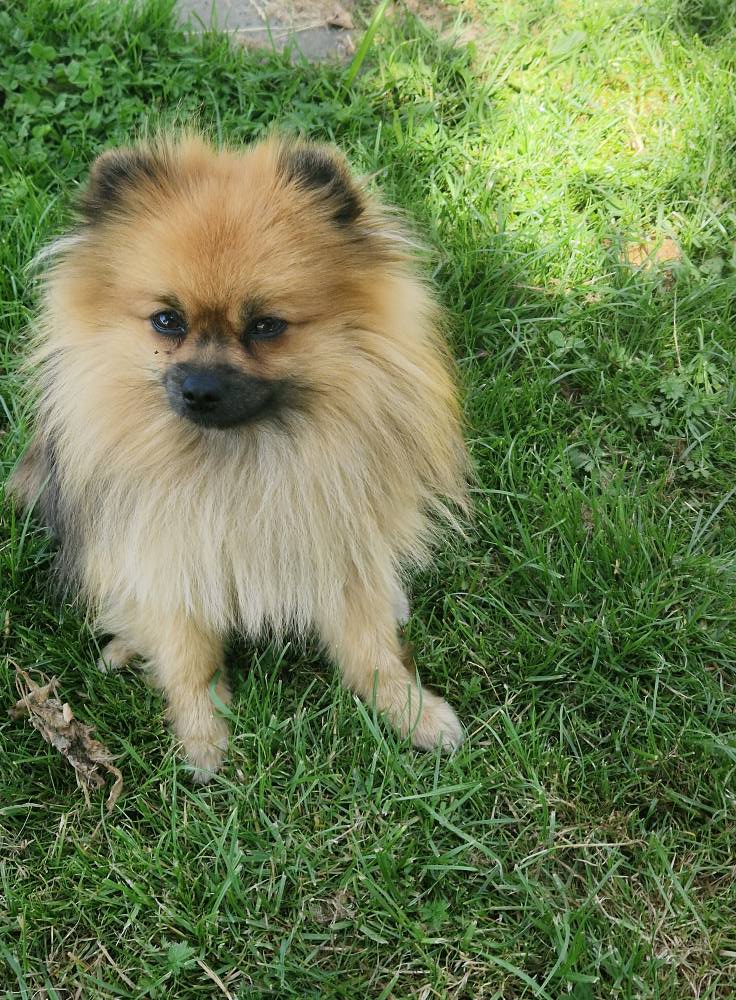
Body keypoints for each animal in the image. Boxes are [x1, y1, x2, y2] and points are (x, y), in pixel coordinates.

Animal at [10, 134, 469, 780]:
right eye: (167, 321)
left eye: (266, 326)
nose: (200, 389)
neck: (240, 459)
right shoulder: (167, 557)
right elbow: (188, 659)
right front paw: (204, 741)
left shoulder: (338, 544)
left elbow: (370, 647)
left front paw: (411, 712)